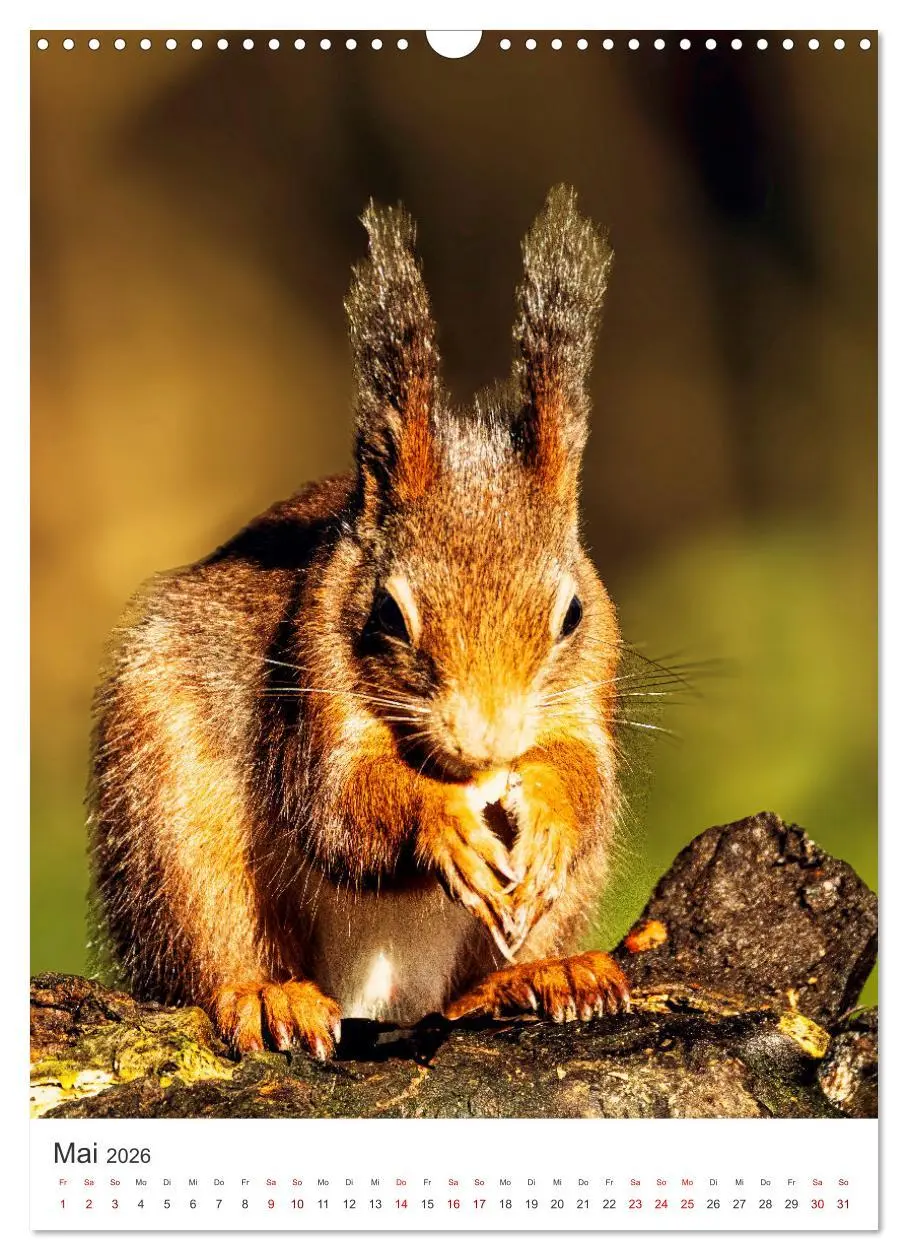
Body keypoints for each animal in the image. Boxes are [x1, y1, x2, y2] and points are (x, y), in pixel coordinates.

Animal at [89, 185, 631, 1060]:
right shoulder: (310, 672)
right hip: (170, 818)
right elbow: (340, 806)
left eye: (572, 613)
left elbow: (587, 778)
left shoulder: (591, 690)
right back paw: (266, 994)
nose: (490, 741)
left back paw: (540, 975)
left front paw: (549, 811)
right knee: (211, 944)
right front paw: (439, 822)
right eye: (387, 613)